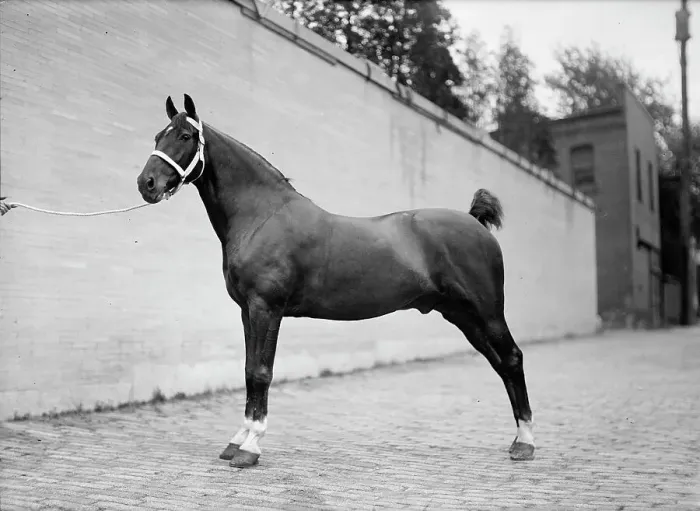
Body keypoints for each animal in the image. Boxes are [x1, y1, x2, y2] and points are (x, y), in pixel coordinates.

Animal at [136, 94, 536, 468]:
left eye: (185, 136)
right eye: (158, 135)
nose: (146, 183)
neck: (262, 216)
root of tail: (475, 221)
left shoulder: (267, 308)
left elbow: (262, 372)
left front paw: (250, 448)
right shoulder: (247, 311)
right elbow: (248, 371)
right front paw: (237, 440)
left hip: (487, 313)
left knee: (512, 358)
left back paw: (526, 443)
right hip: (462, 316)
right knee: (500, 363)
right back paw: (518, 439)